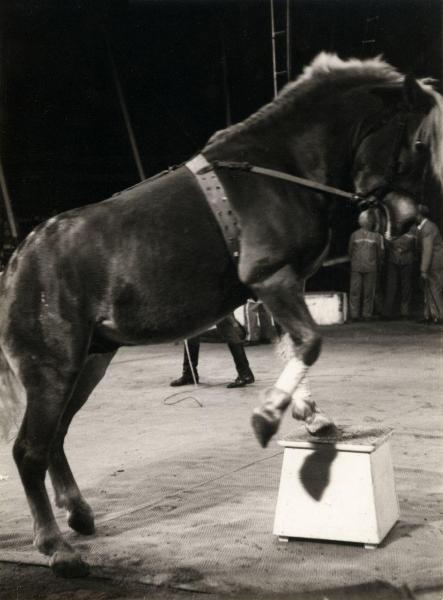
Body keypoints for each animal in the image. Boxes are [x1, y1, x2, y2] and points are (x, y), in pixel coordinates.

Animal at [0, 52, 443, 576]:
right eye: (418, 141)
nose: (410, 220)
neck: (278, 167)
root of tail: (21, 255)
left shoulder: (280, 284)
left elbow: (294, 346)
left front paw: (312, 417)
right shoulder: (271, 277)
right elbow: (310, 342)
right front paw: (270, 416)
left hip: (91, 362)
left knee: (56, 436)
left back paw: (79, 513)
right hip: (54, 367)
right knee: (29, 450)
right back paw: (56, 547)